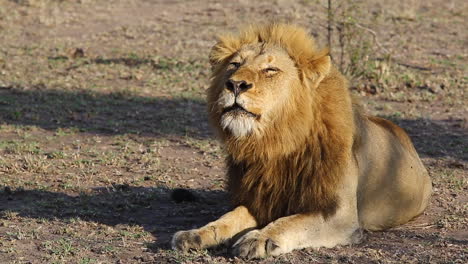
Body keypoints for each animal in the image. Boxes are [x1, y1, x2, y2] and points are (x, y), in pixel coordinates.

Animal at [172, 22, 432, 258]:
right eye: (234, 64)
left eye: (271, 70)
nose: (235, 84)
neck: (277, 141)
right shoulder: (260, 200)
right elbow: (228, 218)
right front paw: (195, 234)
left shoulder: (339, 215)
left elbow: (293, 221)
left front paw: (258, 239)